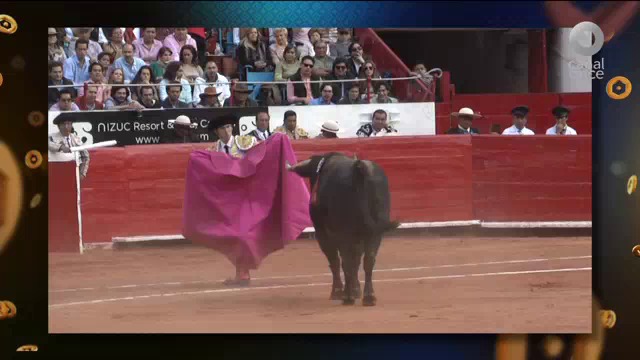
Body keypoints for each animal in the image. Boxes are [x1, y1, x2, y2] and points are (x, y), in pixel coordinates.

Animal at [288, 152, 398, 306]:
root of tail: (359, 169)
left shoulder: (323, 233)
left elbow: (335, 260)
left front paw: (338, 292)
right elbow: (356, 261)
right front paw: (356, 290)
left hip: (343, 232)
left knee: (345, 261)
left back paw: (347, 297)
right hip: (375, 232)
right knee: (368, 260)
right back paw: (369, 296)